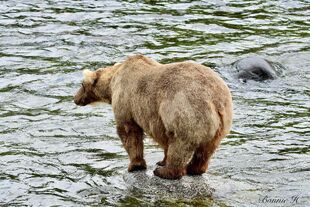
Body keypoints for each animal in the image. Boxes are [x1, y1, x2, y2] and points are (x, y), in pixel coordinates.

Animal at [74, 54, 231, 180]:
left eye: (81, 84)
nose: (75, 98)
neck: (112, 83)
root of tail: (215, 101)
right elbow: (163, 139)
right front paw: (161, 160)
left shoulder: (127, 101)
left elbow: (129, 132)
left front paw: (135, 165)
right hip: (220, 125)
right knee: (206, 150)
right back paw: (194, 169)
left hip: (185, 110)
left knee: (180, 144)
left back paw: (165, 172)